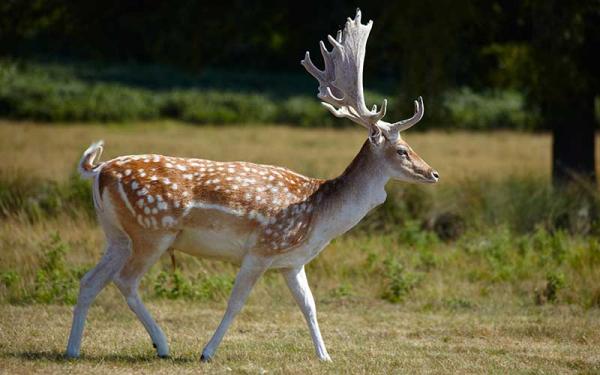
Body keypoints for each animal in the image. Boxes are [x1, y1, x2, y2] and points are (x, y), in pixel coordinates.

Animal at [65, 8, 438, 362]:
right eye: (402, 150)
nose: (433, 173)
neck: (320, 217)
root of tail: (98, 171)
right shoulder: (262, 249)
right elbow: (236, 303)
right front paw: (207, 352)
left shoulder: (293, 261)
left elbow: (310, 306)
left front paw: (325, 355)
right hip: (152, 230)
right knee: (125, 281)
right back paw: (162, 344)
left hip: (116, 234)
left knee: (88, 281)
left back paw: (73, 349)